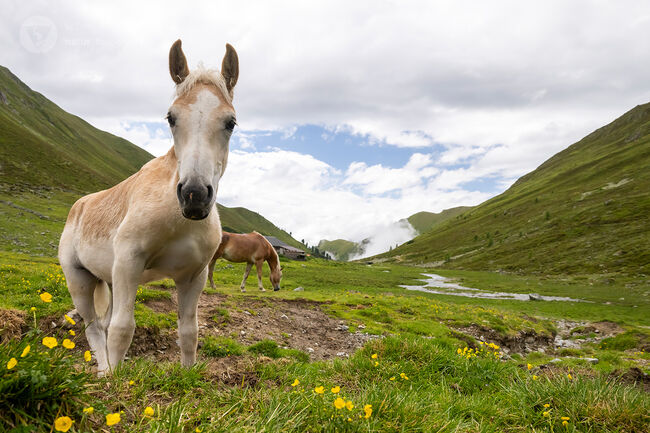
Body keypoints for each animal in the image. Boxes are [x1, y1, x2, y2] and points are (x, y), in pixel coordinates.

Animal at [57, 39, 238, 374]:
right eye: (171, 117)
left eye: (230, 122)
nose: (194, 195)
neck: (177, 219)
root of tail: (79, 206)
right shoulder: (129, 263)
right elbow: (122, 329)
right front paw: (115, 380)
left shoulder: (194, 276)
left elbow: (189, 332)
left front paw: (188, 375)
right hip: (79, 281)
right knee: (93, 327)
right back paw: (104, 372)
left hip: (109, 280)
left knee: (101, 324)